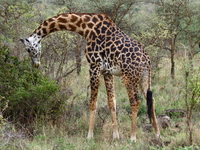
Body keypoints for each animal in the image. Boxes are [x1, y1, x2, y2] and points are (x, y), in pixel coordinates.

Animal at [20, 12, 160, 142]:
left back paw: (133, 137)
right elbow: (111, 102)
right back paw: (157, 134)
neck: (85, 28)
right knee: (151, 99)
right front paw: (116, 136)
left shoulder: (94, 66)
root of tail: (146, 58)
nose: (36, 64)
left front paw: (90, 135)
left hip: (129, 77)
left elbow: (93, 102)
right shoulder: (107, 72)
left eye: (28, 49)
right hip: (144, 78)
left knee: (135, 102)